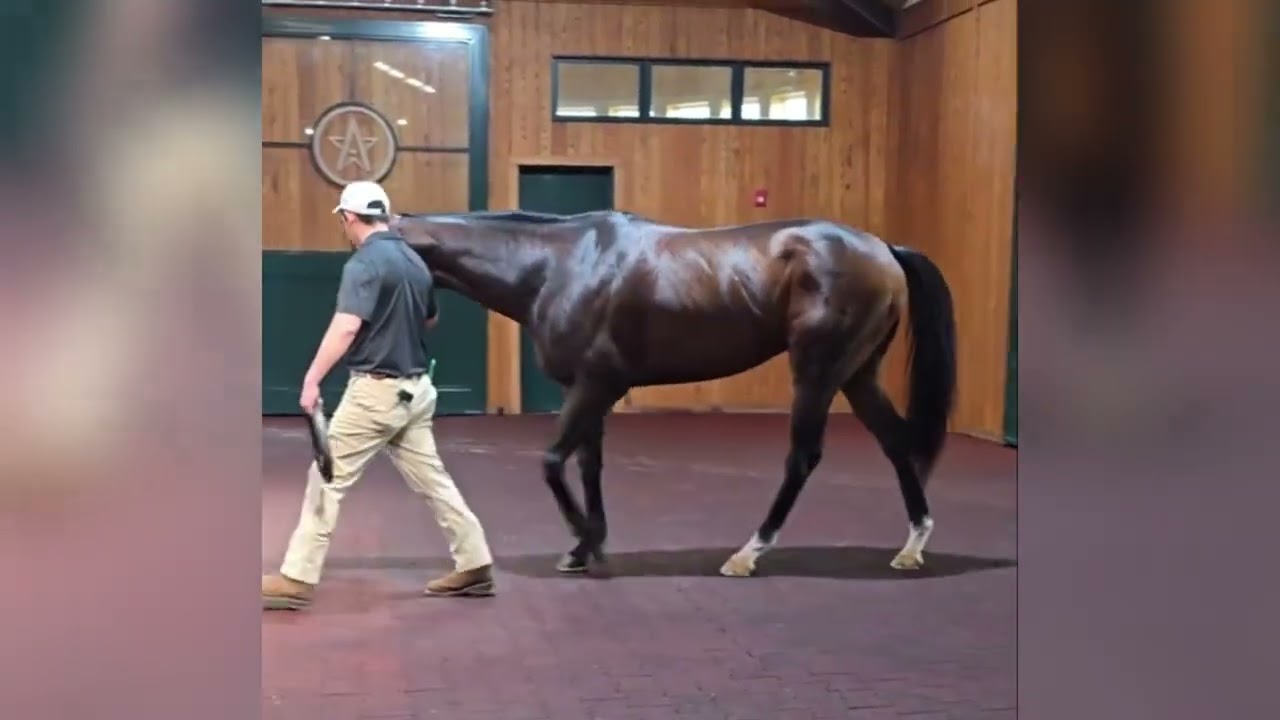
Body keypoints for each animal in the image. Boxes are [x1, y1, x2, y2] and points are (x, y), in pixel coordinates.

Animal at [392, 209, 957, 577]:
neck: (558, 264)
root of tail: (884, 249)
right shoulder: (589, 388)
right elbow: (588, 464)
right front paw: (588, 546)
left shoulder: (596, 383)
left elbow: (552, 461)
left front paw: (584, 541)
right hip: (858, 373)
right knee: (896, 443)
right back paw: (913, 544)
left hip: (818, 371)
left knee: (803, 458)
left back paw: (748, 554)